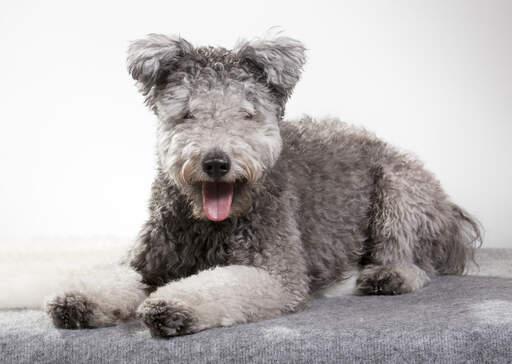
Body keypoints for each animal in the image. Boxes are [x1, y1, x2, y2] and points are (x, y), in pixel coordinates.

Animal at [44, 34, 480, 338]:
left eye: (247, 114)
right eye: (187, 113)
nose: (216, 162)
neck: (209, 224)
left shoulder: (275, 272)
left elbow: (220, 284)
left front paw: (172, 304)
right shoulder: (147, 262)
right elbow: (116, 277)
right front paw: (78, 299)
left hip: (398, 189)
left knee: (417, 261)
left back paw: (385, 276)